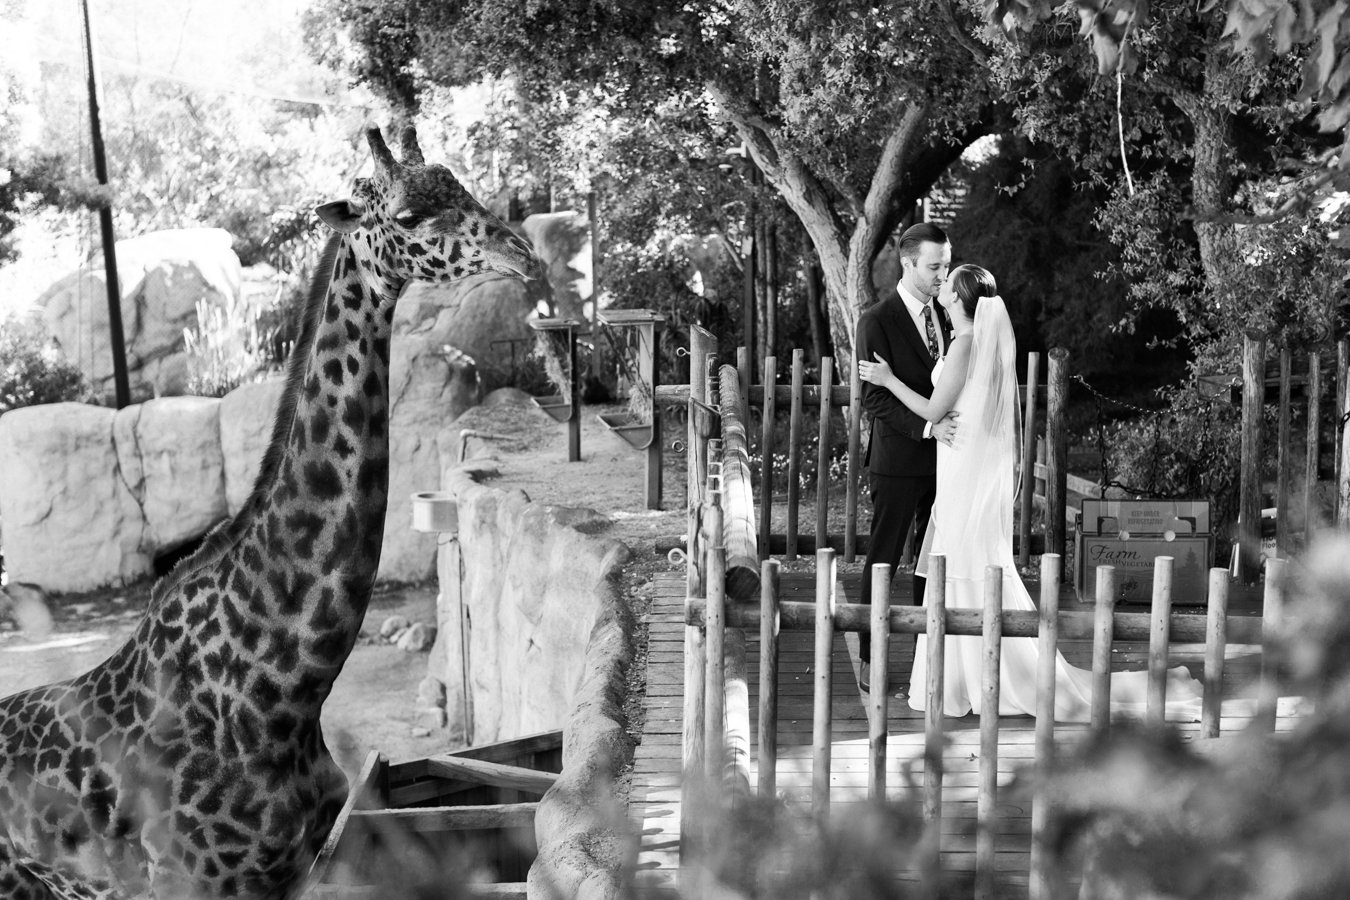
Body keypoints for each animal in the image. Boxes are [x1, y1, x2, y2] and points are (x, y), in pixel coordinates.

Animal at [1, 126, 537, 900]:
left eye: (460, 186)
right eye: (407, 215)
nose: (522, 254)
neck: (278, 697)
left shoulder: (293, 870)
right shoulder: (194, 885)